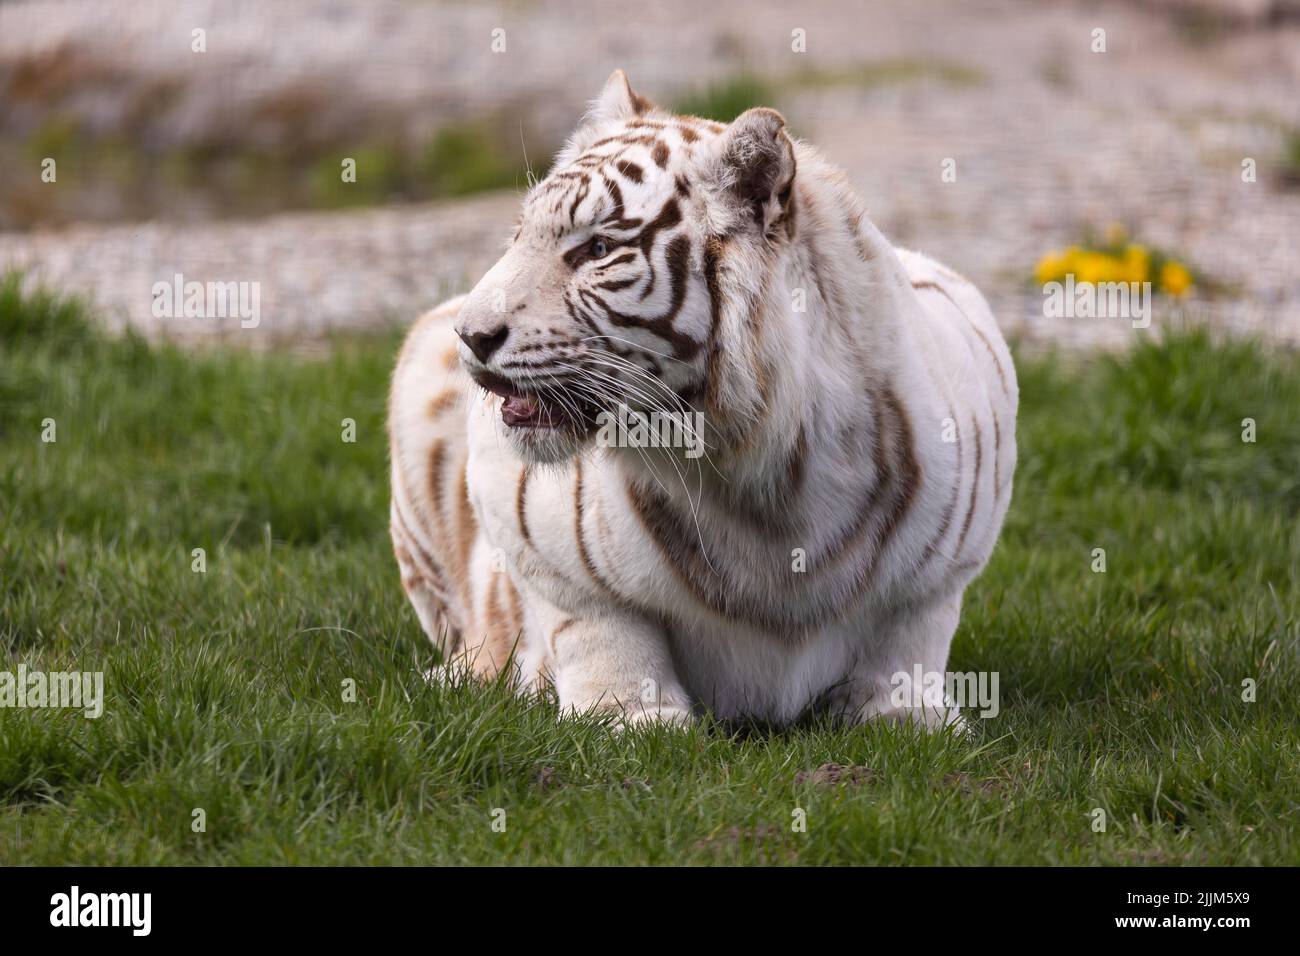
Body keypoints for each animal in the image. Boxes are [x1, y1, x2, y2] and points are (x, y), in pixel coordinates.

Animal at [384, 70, 1013, 728]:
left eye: (597, 250)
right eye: (517, 235)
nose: (472, 336)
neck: (765, 476)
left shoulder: (947, 558)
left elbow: (908, 641)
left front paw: (907, 716)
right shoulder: (527, 520)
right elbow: (599, 624)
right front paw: (628, 717)